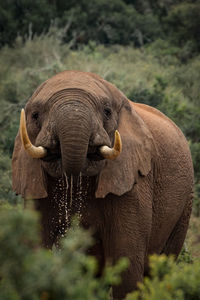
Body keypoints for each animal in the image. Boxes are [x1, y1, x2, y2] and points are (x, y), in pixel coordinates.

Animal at [11, 69, 193, 298]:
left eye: (107, 112)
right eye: (35, 115)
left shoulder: (132, 179)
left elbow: (126, 258)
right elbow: (34, 249)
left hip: (185, 203)